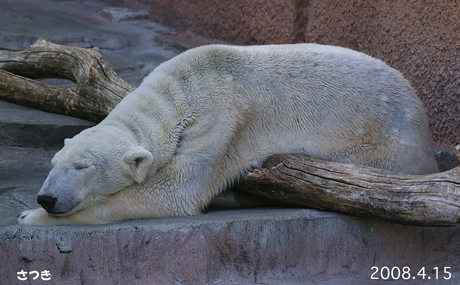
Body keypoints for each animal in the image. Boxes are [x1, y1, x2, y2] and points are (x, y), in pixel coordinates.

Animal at [18, 43, 438, 224]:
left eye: (83, 167)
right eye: (55, 162)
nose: (46, 198)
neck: (182, 89)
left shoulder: (220, 120)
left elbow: (175, 192)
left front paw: (29, 218)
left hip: (381, 148)